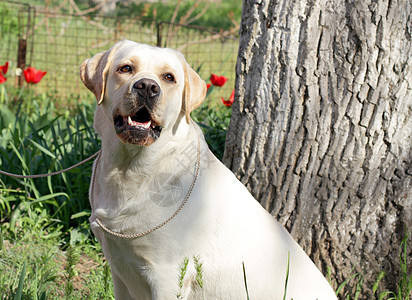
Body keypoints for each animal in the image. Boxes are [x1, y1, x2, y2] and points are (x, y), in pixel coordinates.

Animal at [80, 38, 338, 298]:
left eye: (168, 77)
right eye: (125, 68)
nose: (146, 87)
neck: (131, 169)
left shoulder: (167, 276)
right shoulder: (119, 267)